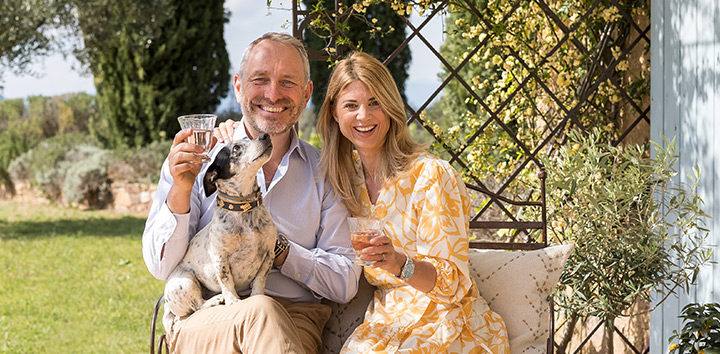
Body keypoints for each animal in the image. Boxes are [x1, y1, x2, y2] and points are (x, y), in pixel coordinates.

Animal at [162, 134, 276, 334]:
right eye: (236, 148)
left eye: (249, 138)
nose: (265, 135)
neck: (244, 210)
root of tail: (167, 305)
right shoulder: (220, 257)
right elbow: (226, 280)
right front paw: (233, 301)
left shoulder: (269, 253)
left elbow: (260, 279)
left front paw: (257, 295)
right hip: (185, 282)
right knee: (197, 305)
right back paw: (215, 299)